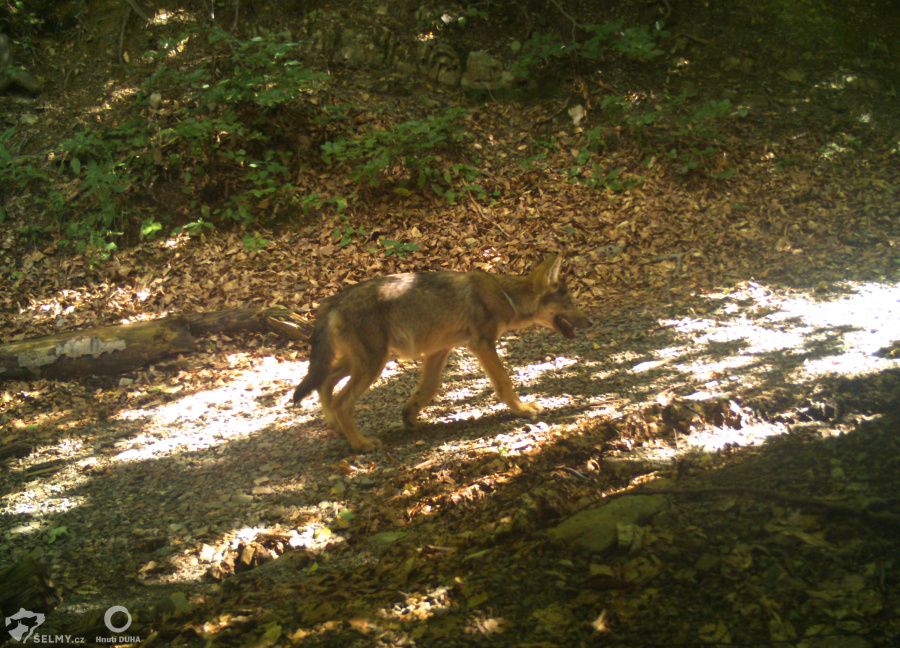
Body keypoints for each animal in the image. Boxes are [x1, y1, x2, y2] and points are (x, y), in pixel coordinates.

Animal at [292, 253, 596, 450]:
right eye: (569, 302)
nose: (591, 322)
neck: (505, 296)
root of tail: (331, 301)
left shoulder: (439, 351)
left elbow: (428, 388)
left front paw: (409, 417)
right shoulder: (482, 345)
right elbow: (504, 383)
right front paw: (523, 410)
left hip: (364, 361)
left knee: (324, 385)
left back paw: (335, 427)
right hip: (372, 364)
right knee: (341, 400)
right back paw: (361, 444)